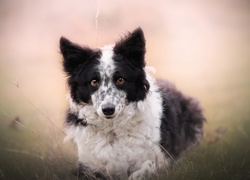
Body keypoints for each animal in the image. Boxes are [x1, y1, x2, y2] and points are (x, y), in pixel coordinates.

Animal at [59, 27, 204, 179]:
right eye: (93, 82)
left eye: (120, 80)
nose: (108, 109)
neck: (113, 130)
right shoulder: (87, 167)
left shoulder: (163, 160)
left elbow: (139, 173)